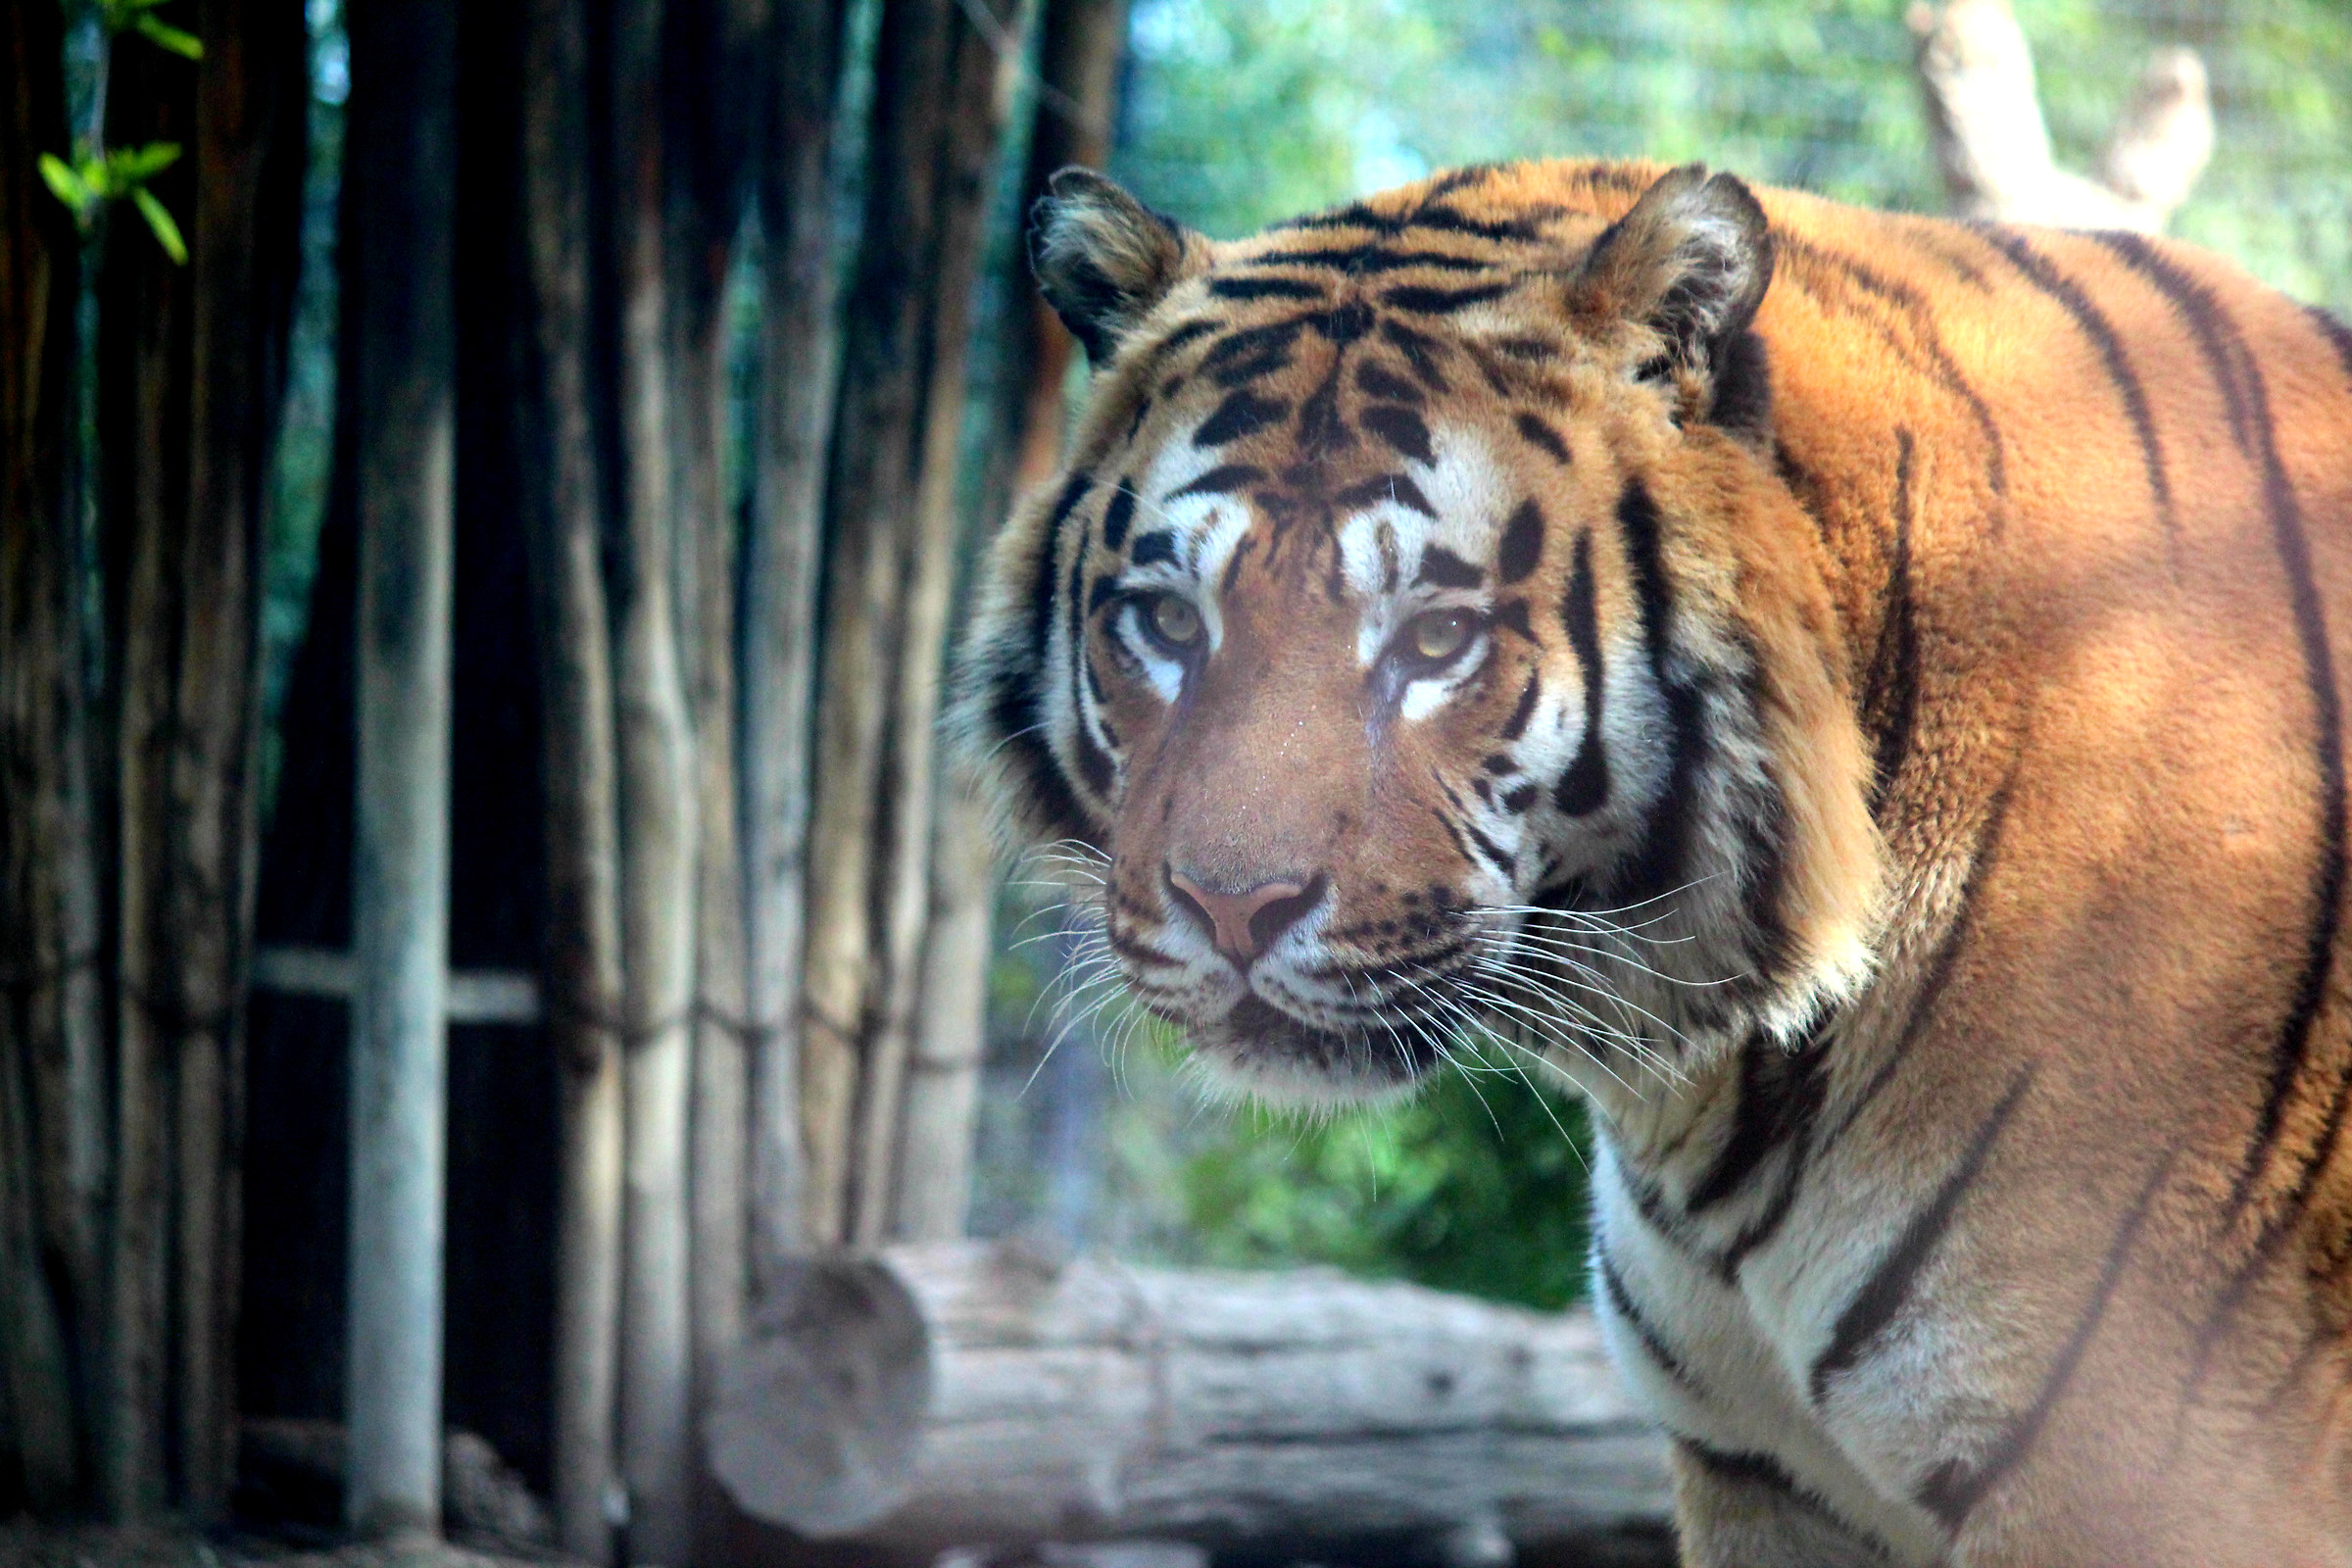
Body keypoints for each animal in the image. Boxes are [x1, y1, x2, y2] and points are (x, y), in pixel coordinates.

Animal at [948, 157, 2352, 1565]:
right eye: (1168, 622)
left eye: (1439, 636)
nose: (1231, 908)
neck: (1724, 1081)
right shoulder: (1762, 1472)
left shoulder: (2128, 1483)